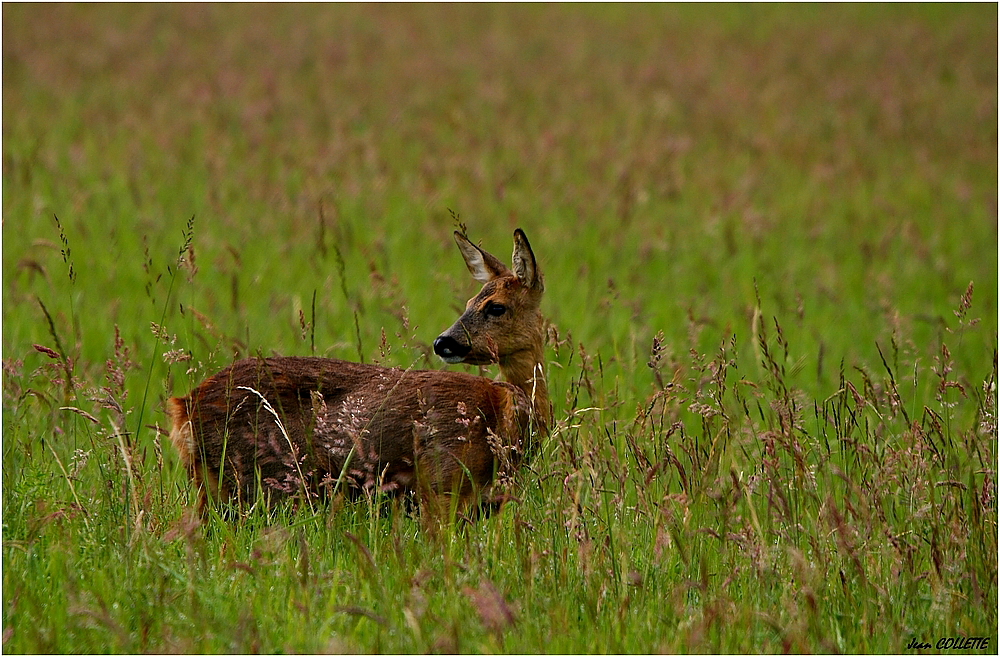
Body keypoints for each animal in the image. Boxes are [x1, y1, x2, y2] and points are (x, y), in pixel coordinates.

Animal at [168, 228, 552, 516]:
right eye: (472, 302)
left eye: (495, 307)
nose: (444, 342)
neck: (504, 413)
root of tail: (183, 407)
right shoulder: (442, 479)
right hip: (254, 481)